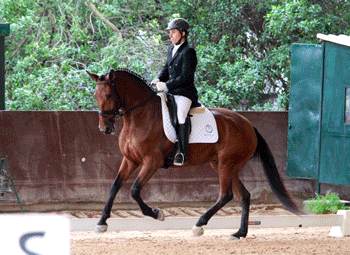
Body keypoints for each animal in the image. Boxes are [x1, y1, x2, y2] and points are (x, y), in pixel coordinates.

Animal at [86, 68, 302, 239]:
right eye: (96, 96)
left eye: (109, 95)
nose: (105, 129)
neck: (140, 117)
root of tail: (249, 125)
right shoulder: (130, 159)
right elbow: (115, 186)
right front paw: (102, 222)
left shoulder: (152, 162)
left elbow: (134, 190)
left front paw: (157, 214)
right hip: (225, 165)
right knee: (244, 196)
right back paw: (239, 233)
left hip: (226, 164)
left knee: (226, 195)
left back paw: (199, 225)